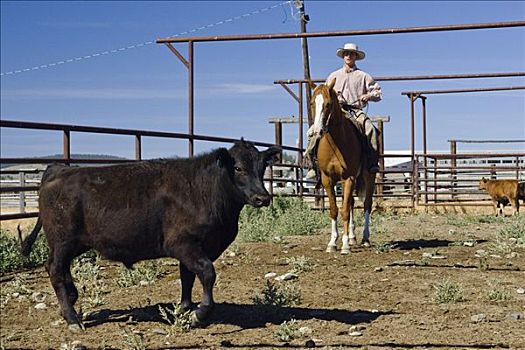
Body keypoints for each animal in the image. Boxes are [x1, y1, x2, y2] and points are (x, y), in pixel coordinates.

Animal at [20, 139, 280, 330]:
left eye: (262, 168)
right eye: (238, 168)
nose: (263, 197)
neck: (203, 190)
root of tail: (60, 170)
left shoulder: (195, 248)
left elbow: (187, 277)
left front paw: (183, 309)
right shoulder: (184, 244)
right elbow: (207, 274)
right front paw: (199, 314)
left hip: (74, 243)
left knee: (59, 268)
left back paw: (72, 300)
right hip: (62, 240)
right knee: (55, 269)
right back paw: (72, 318)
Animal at [310, 78, 374, 254]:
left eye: (328, 104)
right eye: (312, 103)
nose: (317, 131)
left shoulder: (348, 177)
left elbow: (344, 210)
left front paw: (344, 245)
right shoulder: (327, 179)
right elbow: (334, 209)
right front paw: (332, 243)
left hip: (368, 176)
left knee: (367, 204)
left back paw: (365, 238)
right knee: (351, 202)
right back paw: (352, 237)